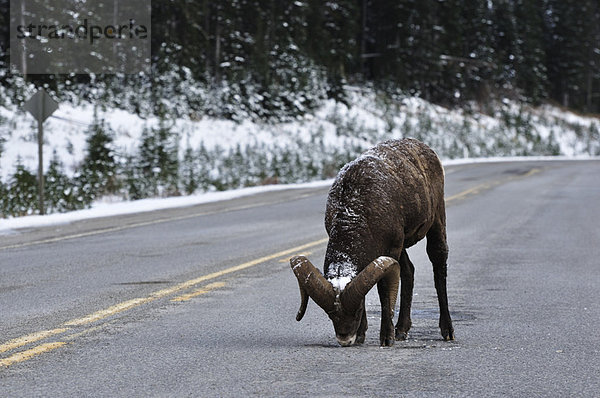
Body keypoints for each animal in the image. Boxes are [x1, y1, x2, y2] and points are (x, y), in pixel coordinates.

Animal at [290, 138, 454, 346]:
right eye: (330, 314)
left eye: (357, 311)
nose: (345, 339)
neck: (356, 209)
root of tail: (423, 147)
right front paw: (362, 335)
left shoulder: (390, 249)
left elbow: (384, 291)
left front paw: (386, 338)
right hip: (402, 247)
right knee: (408, 271)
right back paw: (402, 330)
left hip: (436, 224)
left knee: (439, 267)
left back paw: (447, 331)